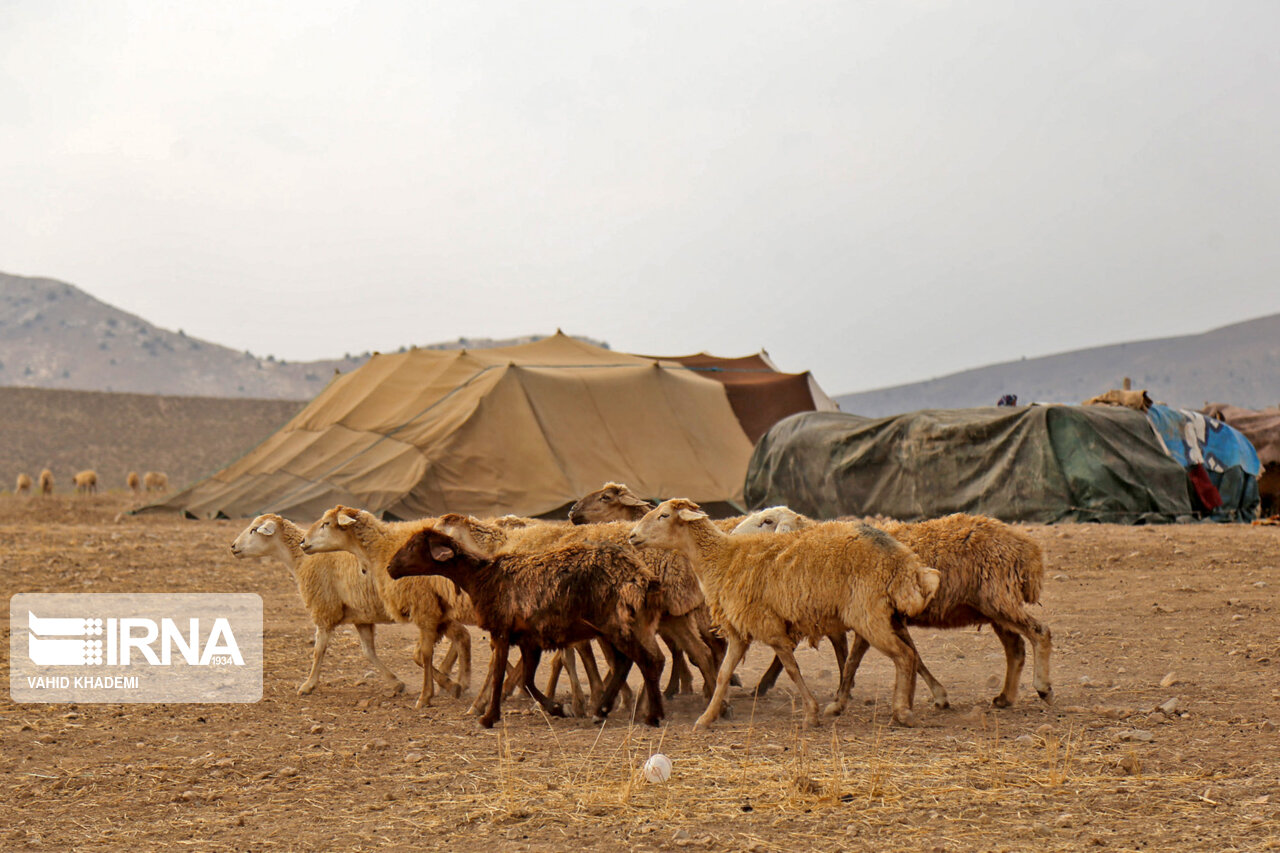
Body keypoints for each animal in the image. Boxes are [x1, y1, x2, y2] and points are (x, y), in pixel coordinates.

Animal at [299, 502, 476, 706]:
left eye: (326, 523)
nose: (302, 541)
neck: (382, 549)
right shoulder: (438, 609)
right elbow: (426, 652)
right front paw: (453, 685)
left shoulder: (425, 607)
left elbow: (423, 653)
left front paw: (430, 694)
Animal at [384, 525, 665, 722]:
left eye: (413, 547)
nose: (389, 568)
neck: (481, 577)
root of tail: (641, 576)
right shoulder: (530, 640)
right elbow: (527, 681)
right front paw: (556, 708)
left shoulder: (501, 632)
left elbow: (499, 674)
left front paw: (488, 717)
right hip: (616, 627)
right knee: (627, 663)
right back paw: (604, 708)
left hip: (615, 625)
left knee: (647, 661)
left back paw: (653, 715)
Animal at [629, 499, 942, 722]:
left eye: (663, 515)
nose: (632, 536)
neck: (721, 558)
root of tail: (906, 562)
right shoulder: (740, 631)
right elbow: (722, 674)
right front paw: (707, 718)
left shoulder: (767, 625)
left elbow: (792, 669)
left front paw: (810, 712)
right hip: (882, 614)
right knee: (902, 654)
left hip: (869, 615)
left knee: (903, 655)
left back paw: (902, 711)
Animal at [737, 504, 1054, 701]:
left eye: (767, 521)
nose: (732, 536)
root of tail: (1027, 549)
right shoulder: (887, 617)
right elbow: (912, 656)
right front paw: (937, 695)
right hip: (993, 606)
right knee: (1016, 648)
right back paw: (1005, 698)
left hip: (998, 599)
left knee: (1040, 632)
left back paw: (1042, 687)